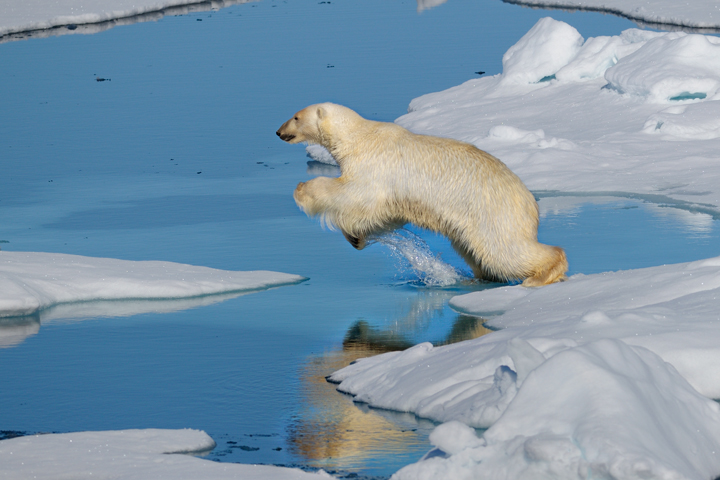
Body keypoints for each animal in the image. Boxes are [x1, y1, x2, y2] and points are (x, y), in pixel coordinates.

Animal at [276, 103, 567, 286]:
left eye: (296, 117)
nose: (279, 132)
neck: (358, 135)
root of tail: (529, 201)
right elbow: (387, 213)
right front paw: (356, 237)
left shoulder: (373, 164)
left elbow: (356, 194)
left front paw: (302, 190)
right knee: (477, 253)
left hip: (494, 213)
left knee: (505, 252)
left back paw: (540, 275)